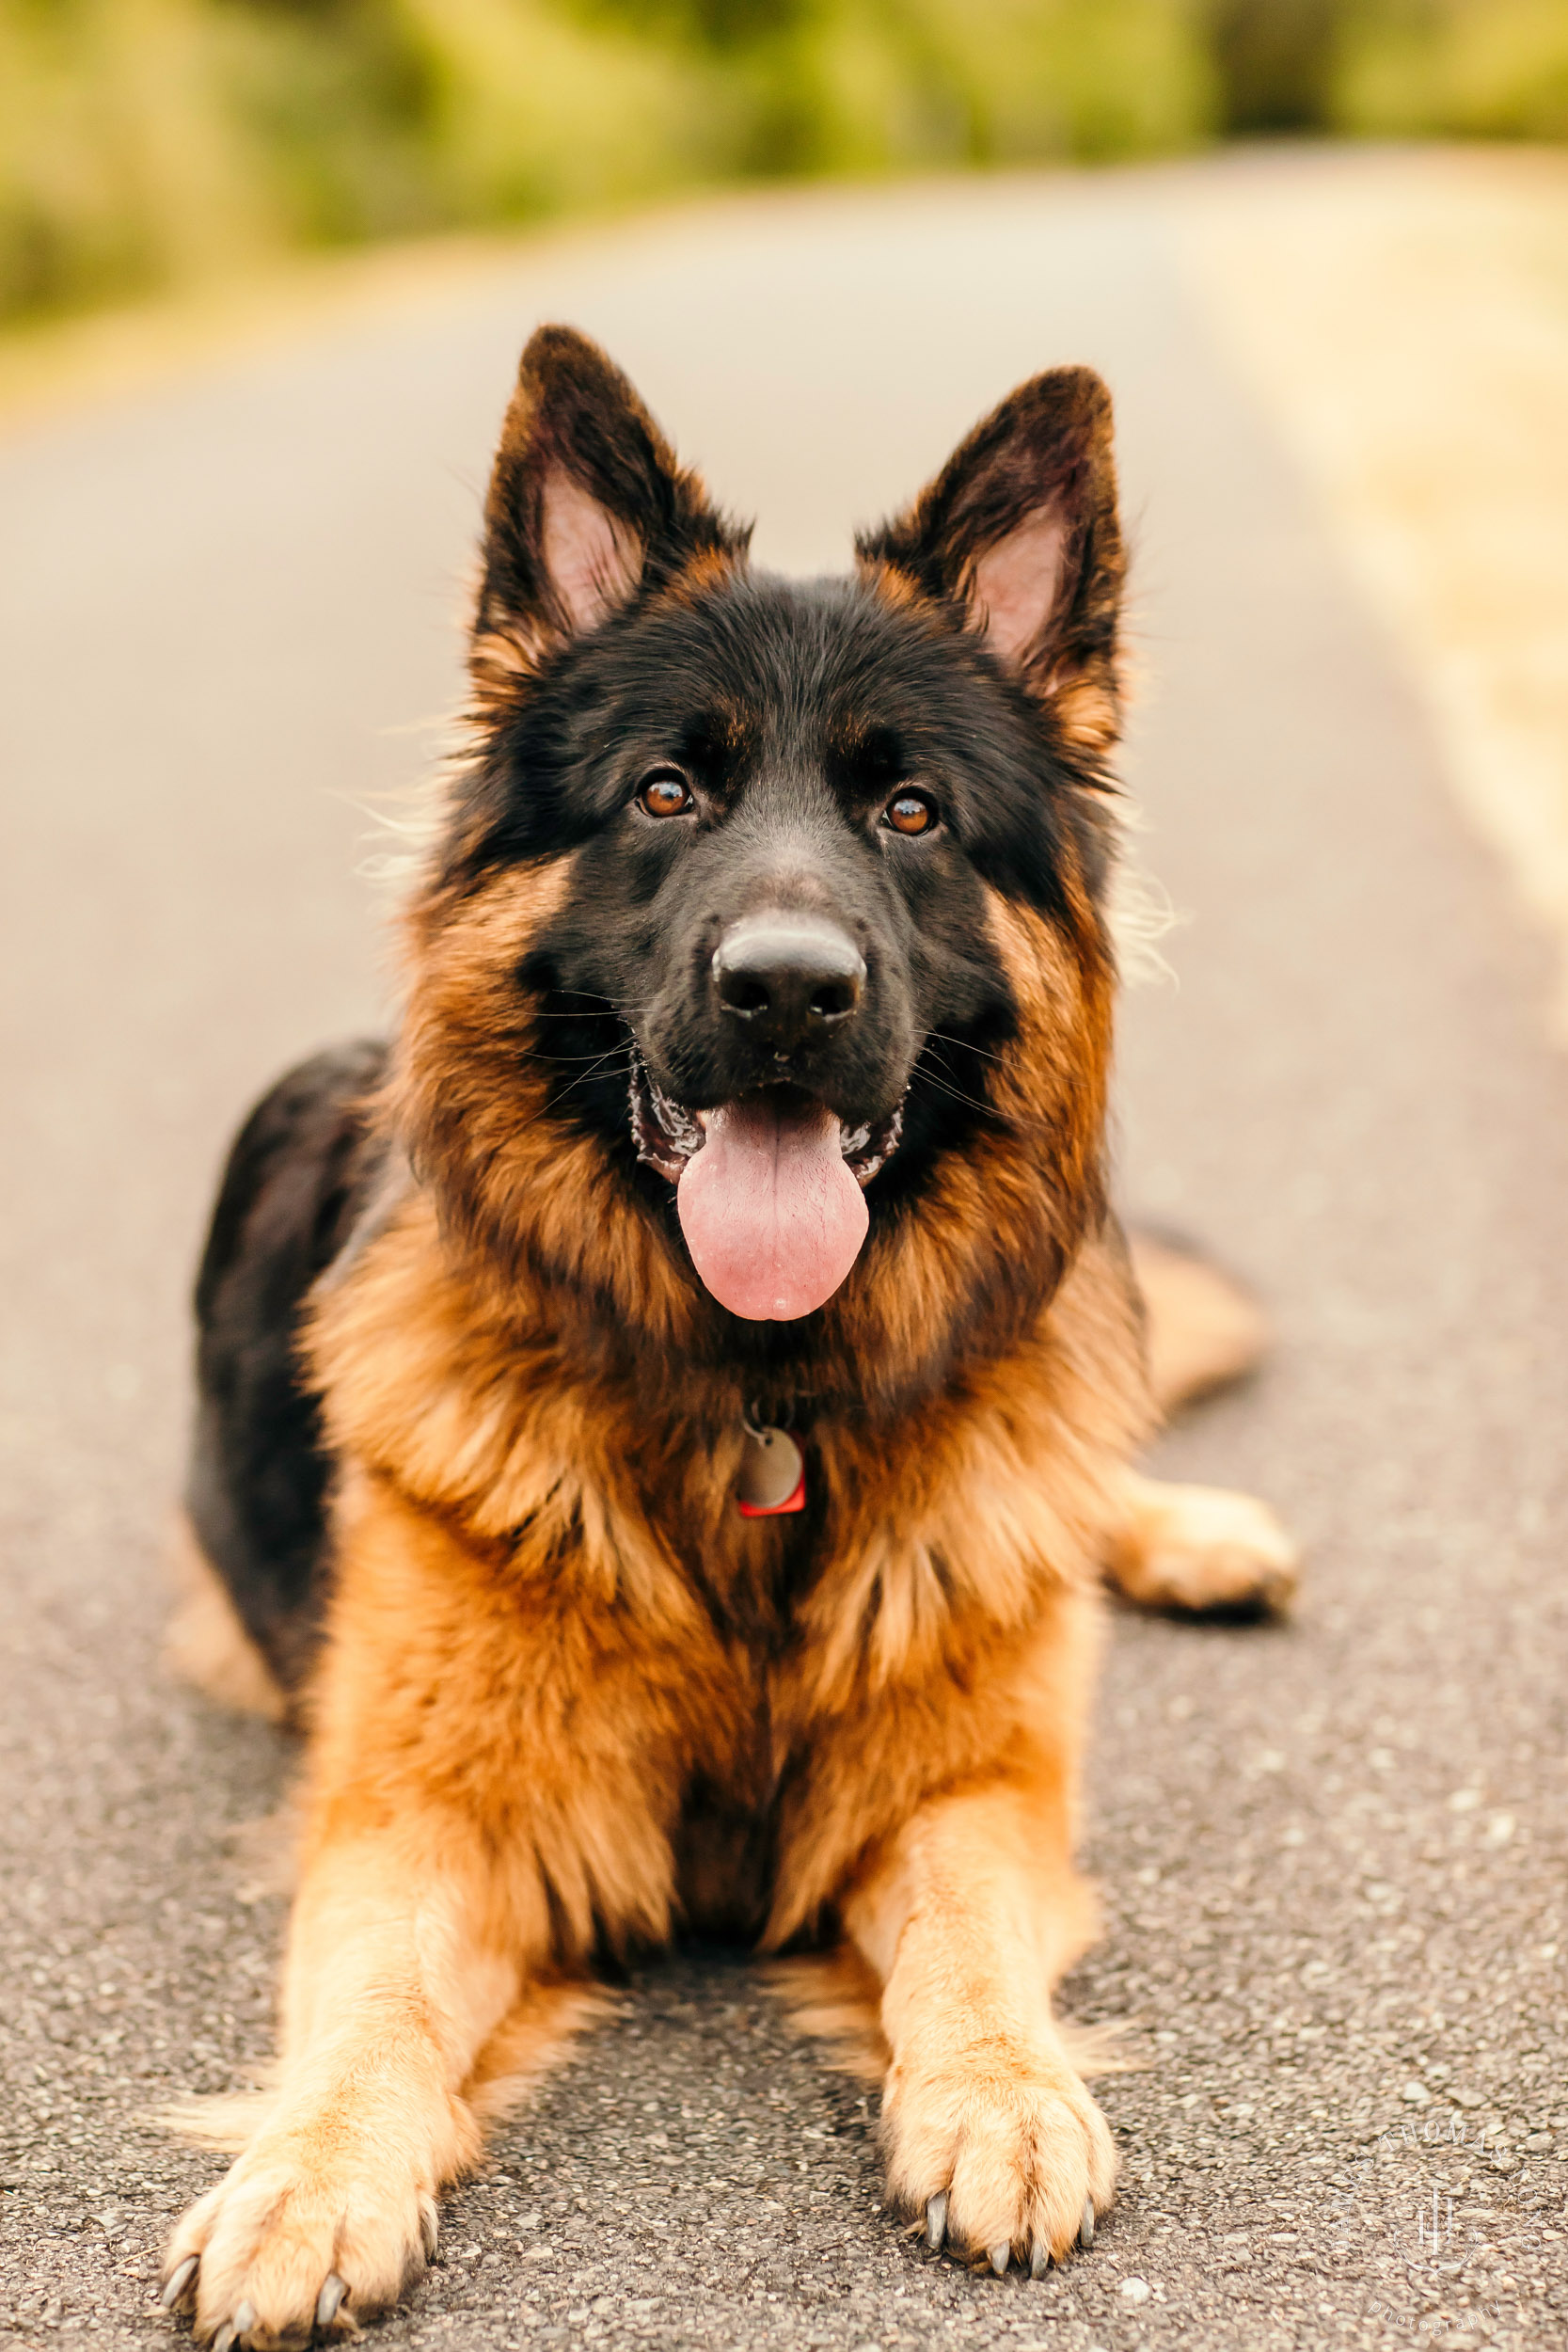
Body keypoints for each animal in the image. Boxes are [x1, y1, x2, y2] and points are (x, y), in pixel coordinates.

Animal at [159, 336, 1297, 2352]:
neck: (757, 1402)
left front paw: (1003, 2095)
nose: (785, 993)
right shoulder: (414, 1816)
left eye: (910, 815)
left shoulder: (966, 1790)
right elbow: (369, 2003)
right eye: (666, 794)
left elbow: (971, 1937)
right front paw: (304, 2179)